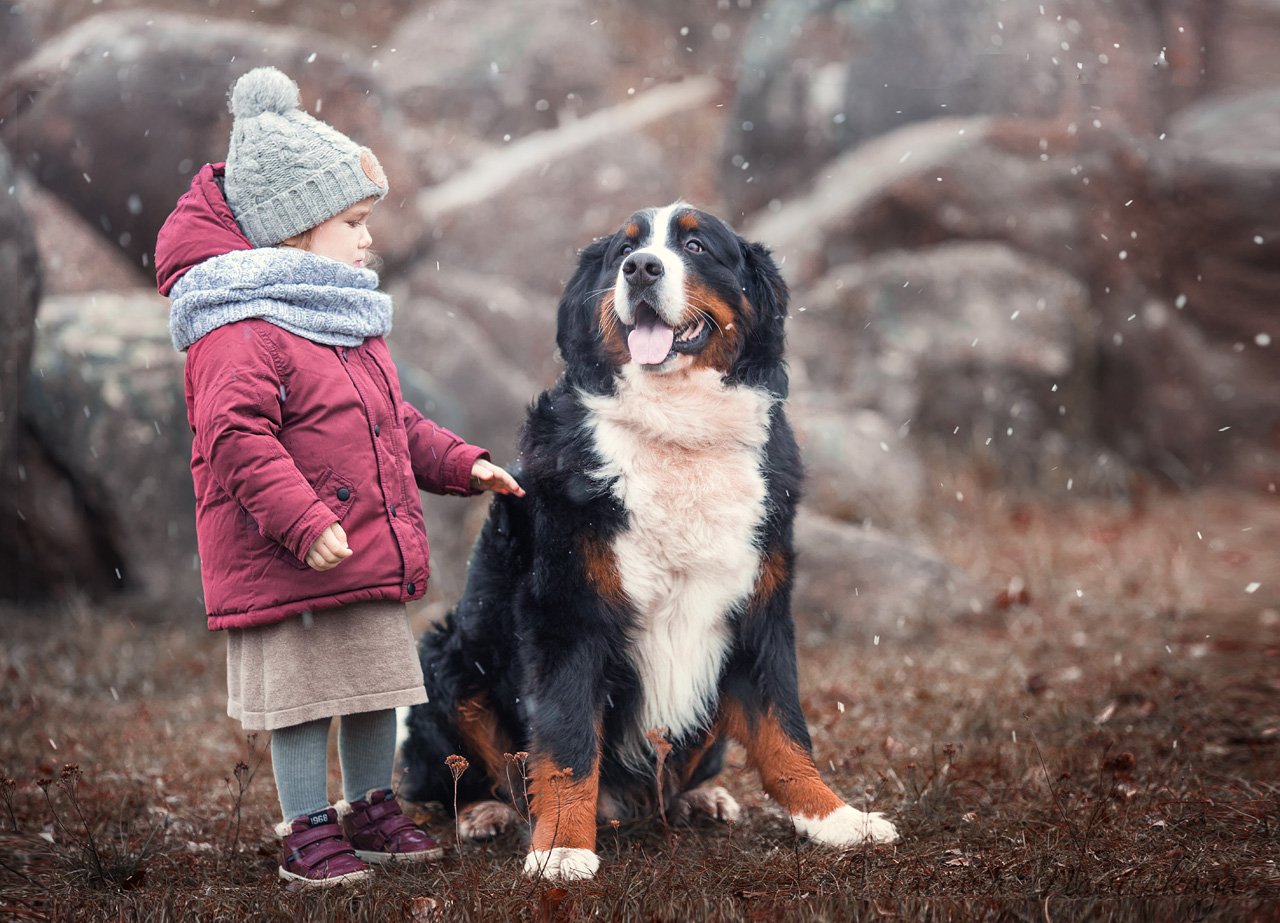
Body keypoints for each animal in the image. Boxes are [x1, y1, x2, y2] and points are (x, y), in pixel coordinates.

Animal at [401, 202, 901, 880]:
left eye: (695, 245)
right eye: (622, 251)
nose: (641, 268)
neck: (678, 432)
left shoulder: (760, 608)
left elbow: (786, 730)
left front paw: (837, 819)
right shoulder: (568, 614)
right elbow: (566, 744)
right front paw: (561, 849)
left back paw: (702, 798)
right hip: (446, 657)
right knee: (461, 776)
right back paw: (486, 813)